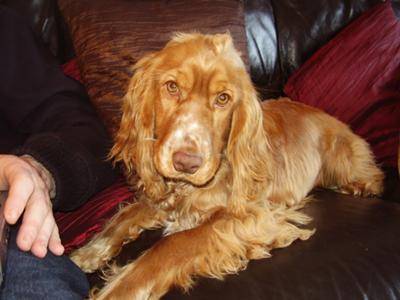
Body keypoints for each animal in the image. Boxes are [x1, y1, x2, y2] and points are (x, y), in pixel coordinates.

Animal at [72, 32, 384, 300]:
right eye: (172, 87)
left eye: (223, 99)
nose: (186, 163)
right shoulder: (163, 197)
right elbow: (124, 216)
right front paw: (87, 253)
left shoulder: (252, 217)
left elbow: (172, 244)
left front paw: (118, 290)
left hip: (344, 156)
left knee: (373, 174)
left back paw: (360, 187)